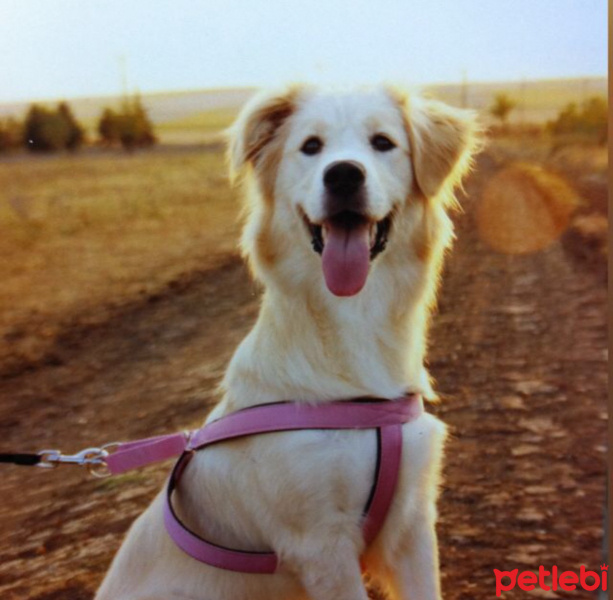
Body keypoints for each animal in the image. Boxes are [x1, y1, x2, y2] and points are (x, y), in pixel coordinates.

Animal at [95, 84, 478, 600]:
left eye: (382, 142)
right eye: (311, 147)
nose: (343, 175)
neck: (353, 329)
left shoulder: (411, 526)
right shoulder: (320, 544)